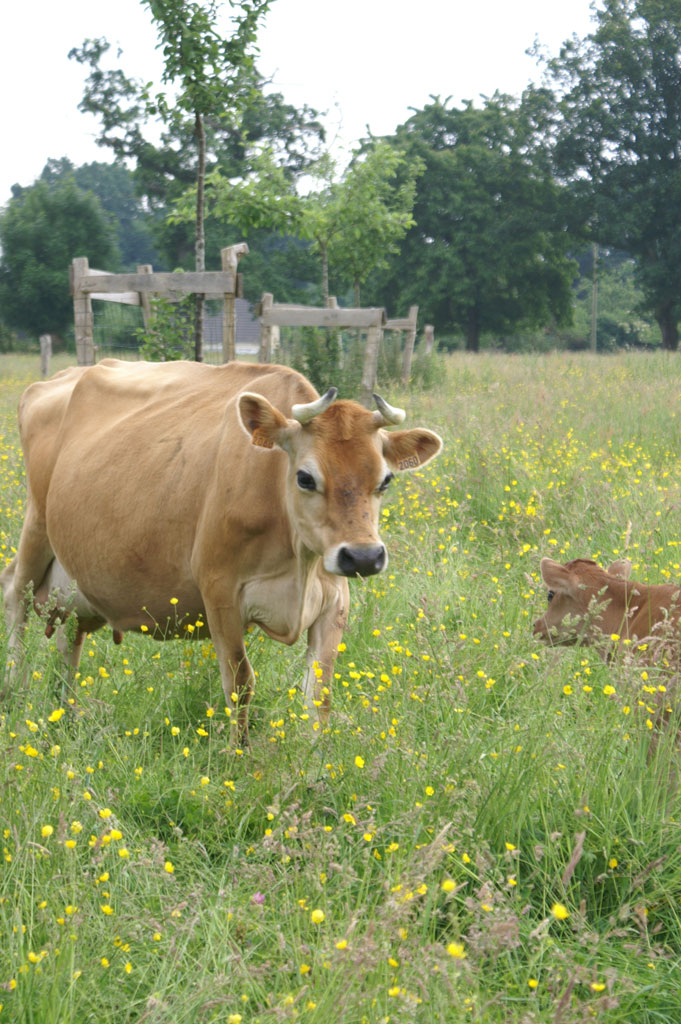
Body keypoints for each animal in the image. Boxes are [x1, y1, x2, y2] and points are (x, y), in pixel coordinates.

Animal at [1, 356, 440, 741]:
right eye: (305, 477)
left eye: (385, 480)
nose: (363, 556)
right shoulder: (220, 592)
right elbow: (240, 681)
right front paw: (238, 753)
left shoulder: (335, 599)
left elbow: (320, 692)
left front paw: (317, 758)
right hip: (36, 527)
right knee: (15, 597)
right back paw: (15, 691)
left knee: (69, 636)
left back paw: (66, 710)